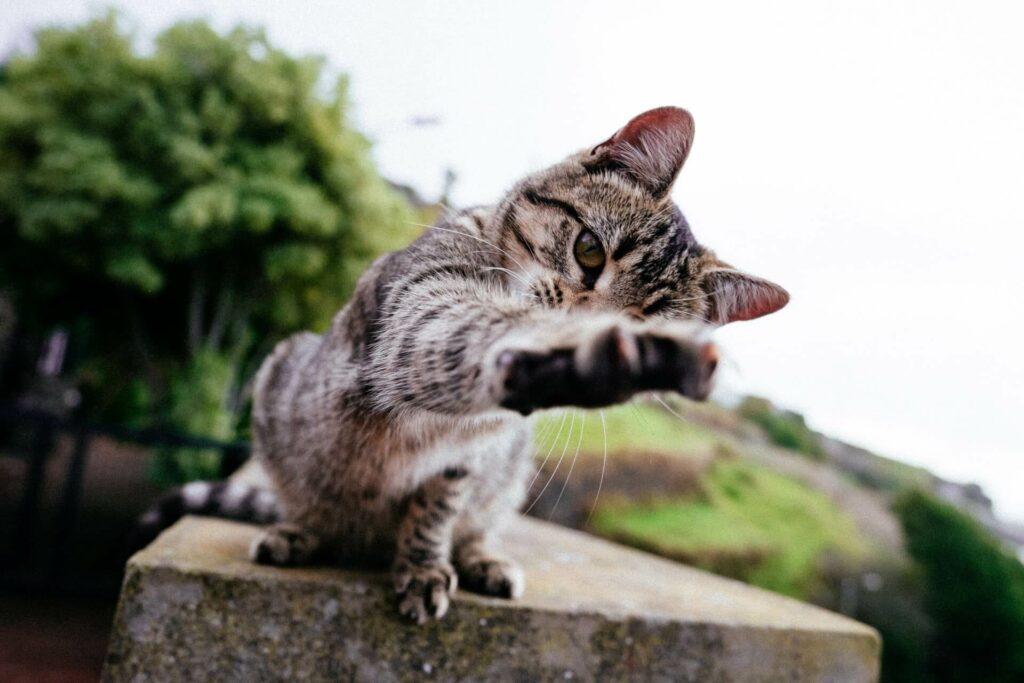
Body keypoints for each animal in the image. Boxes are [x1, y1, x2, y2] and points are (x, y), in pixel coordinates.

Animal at [138, 104, 790, 622]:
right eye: (589, 251)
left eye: (647, 321)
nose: (591, 324)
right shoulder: (421, 312)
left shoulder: (468, 455)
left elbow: (436, 510)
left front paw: (425, 564)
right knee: (312, 506)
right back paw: (301, 531)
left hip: (508, 472)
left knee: (474, 522)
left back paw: (481, 560)